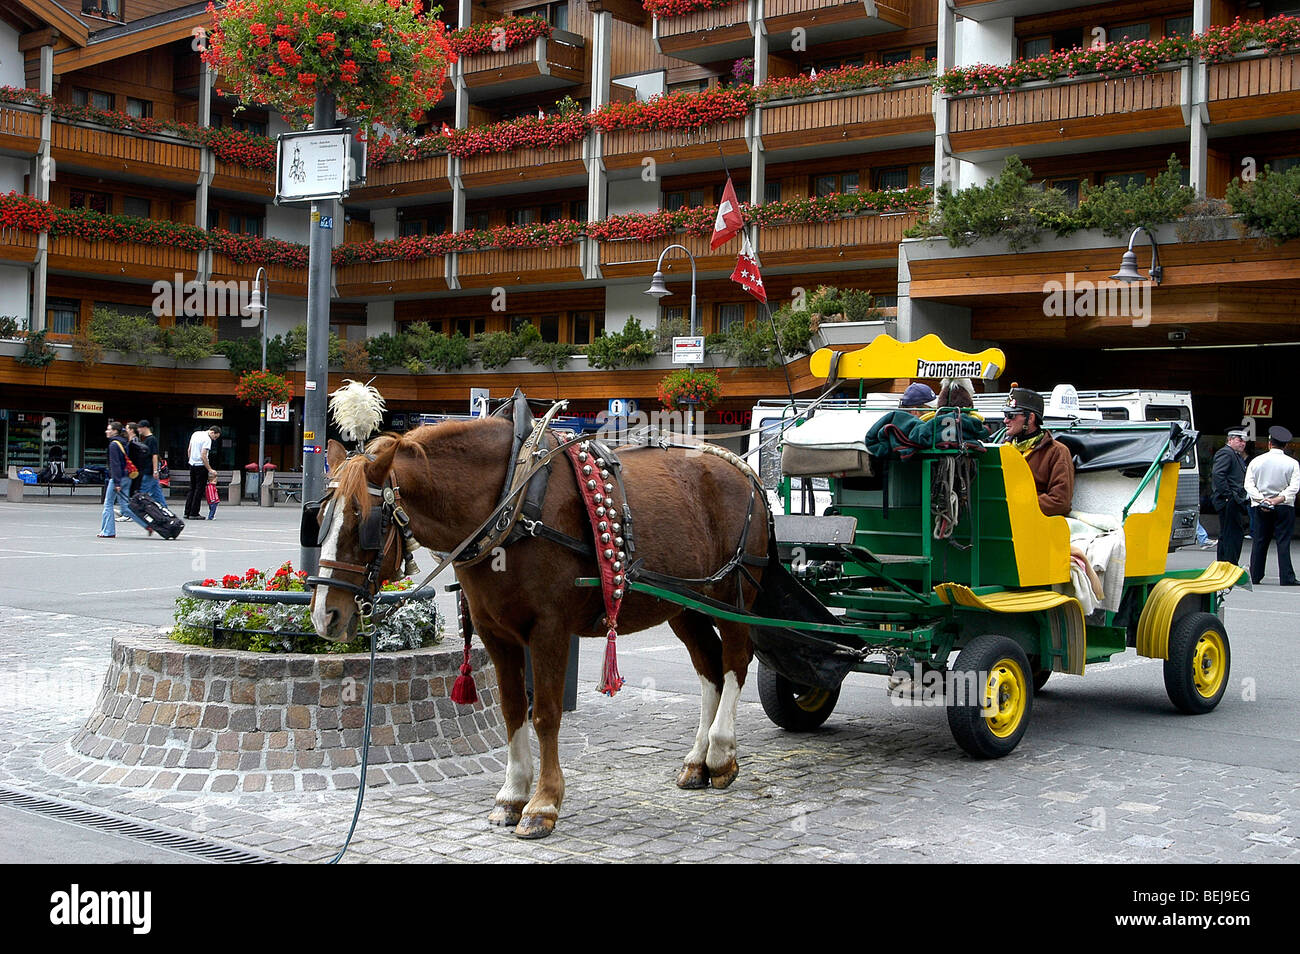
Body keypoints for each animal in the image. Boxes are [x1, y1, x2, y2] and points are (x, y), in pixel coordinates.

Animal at [308, 421, 764, 842]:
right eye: (319, 520)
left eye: (364, 523)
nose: (324, 616)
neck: (511, 503)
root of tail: (743, 469)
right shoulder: (496, 633)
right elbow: (513, 711)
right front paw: (512, 796)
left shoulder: (550, 629)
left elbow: (545, 714)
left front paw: (543, 803)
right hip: (685, 604)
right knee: (709, 667)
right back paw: (697, 761)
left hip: (734, 595)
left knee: (735, 662)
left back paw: (721, 754)